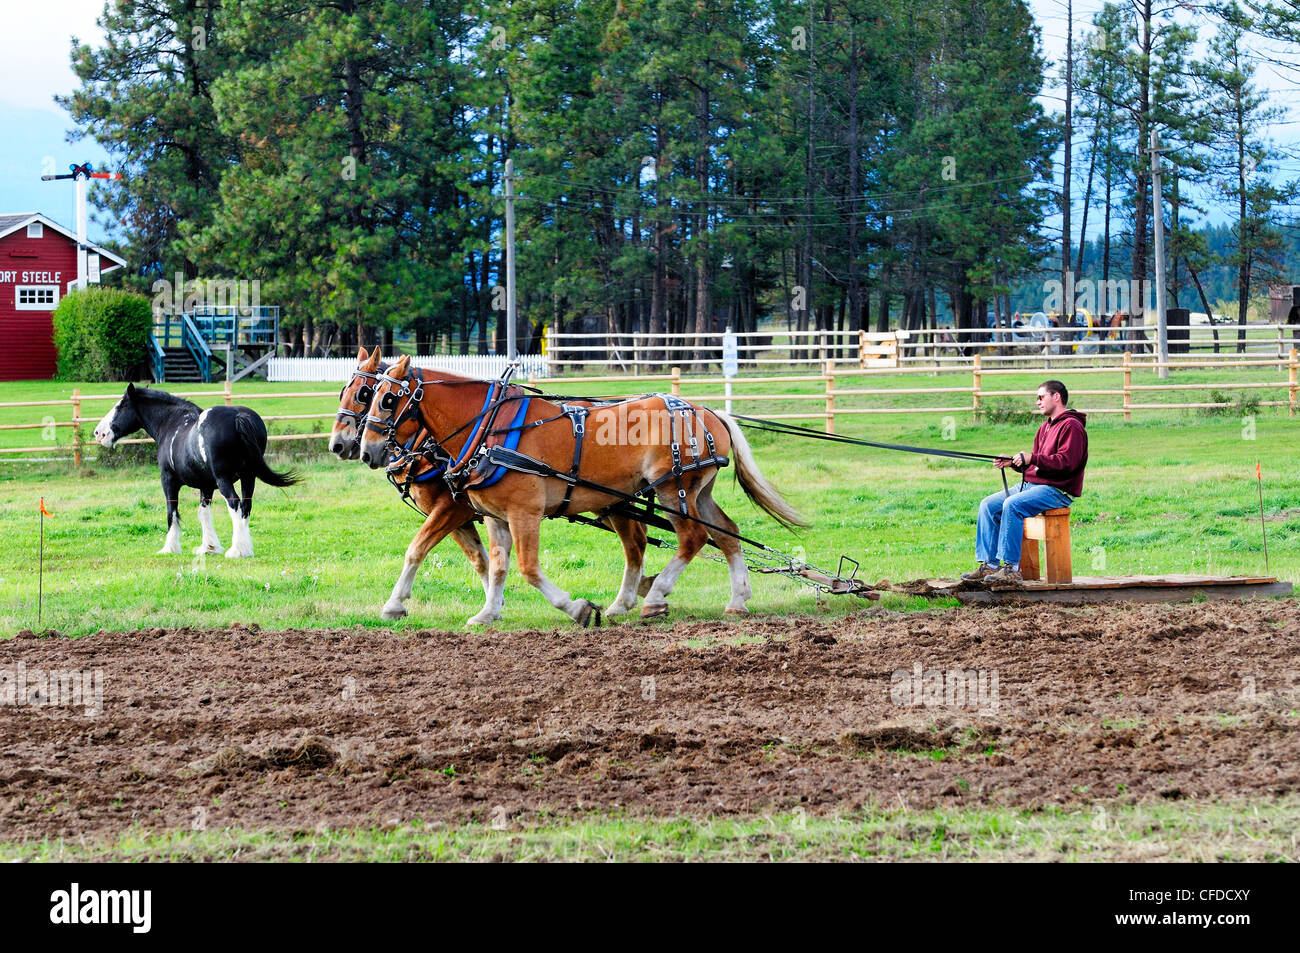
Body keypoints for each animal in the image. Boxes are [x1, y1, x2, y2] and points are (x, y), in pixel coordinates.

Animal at [92, 383, 299, 558]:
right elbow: (203, 513)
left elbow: (172, 511)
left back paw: (236, 551)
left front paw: (170, 548)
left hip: (225, 480)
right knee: (246, 507)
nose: (99, 433)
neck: (170, 423)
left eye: (120, 406)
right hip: (249, 477)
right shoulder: (206, 486)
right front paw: (209, 547)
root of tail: (238, 417)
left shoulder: (168, 480)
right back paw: (245, 549)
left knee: (235, 504)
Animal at [358, 354, 805, 625]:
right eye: (368, 394)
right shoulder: (495, 516)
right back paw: (736, 599)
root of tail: (706, 411)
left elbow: (528, 568)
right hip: (696, 492)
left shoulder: (523, 514)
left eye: (385, 399)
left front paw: (576, 608)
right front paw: (487, 613)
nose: (365, 450)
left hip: (673, 491)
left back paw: (655, 596)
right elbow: (498, 567)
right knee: (725, 534)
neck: (489, 428)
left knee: (692, 538)